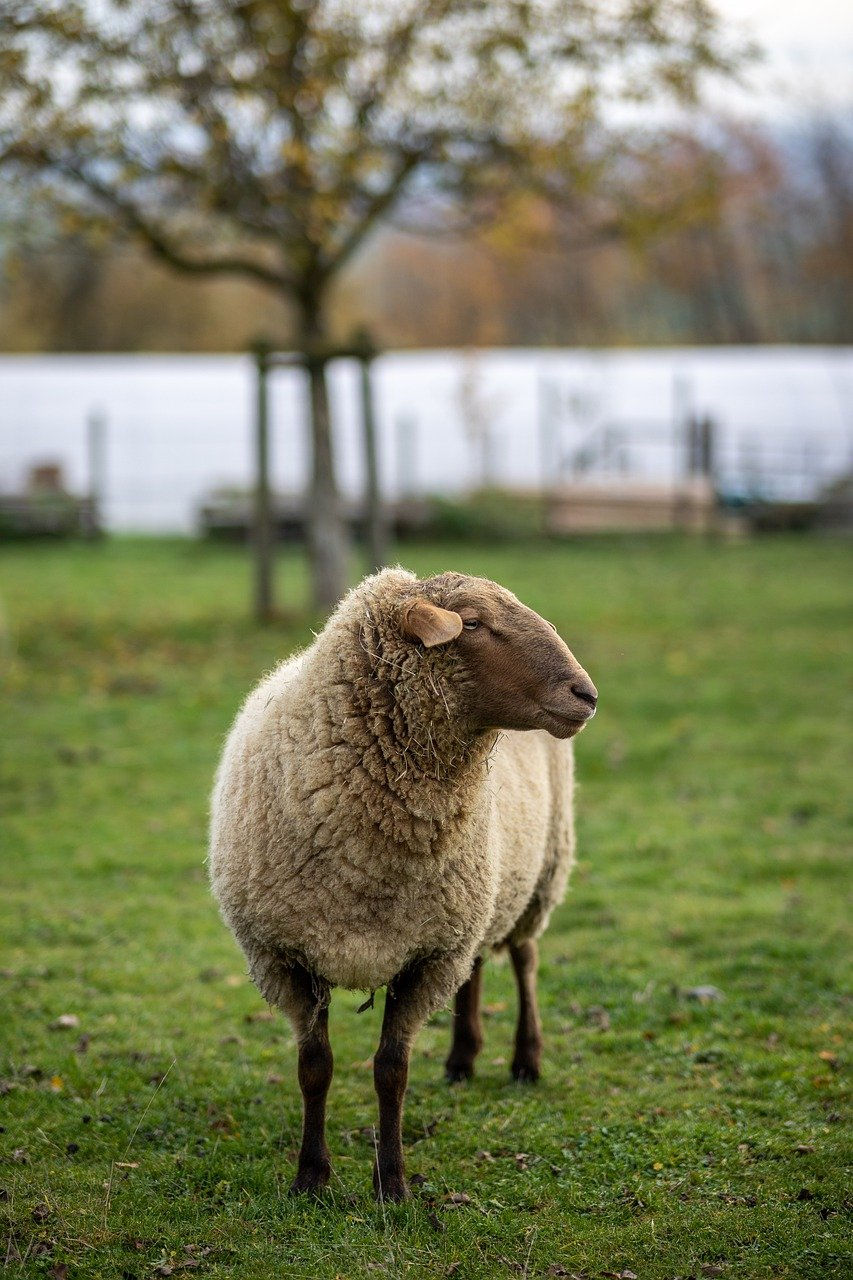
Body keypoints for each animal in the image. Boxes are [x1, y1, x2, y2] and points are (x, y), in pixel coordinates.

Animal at [209, 567, 597, 1201]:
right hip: (477, 899)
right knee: (479, 963)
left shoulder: (426, 958)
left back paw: (526, 1059)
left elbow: (392, 1071)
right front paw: (310, 1178)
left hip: (541, 872)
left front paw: (391, 1183)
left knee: (524, 958)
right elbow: (314, 1069)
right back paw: (463, 1058)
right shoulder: (287, 957)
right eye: (475, 624)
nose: (586, 695)